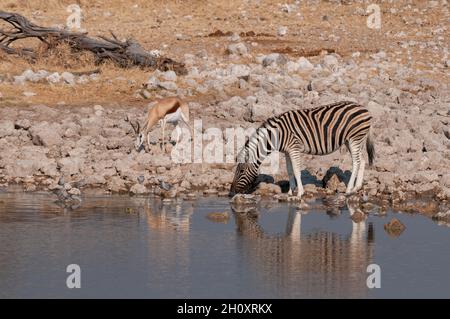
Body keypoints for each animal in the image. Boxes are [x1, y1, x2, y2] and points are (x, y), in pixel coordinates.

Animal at [230, 101, 374, 199]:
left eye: (241, 171)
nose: (232, 191)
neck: (277, 135)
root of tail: (364, 108)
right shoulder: (287, 151)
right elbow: (289, 171)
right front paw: (290, 192)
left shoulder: (294, 147)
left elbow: (296, 170)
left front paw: (299, 193)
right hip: (350, 140)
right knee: (362, 160)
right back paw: (357, 187)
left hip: (354, 138)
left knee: (356, 162)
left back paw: (349, 189)